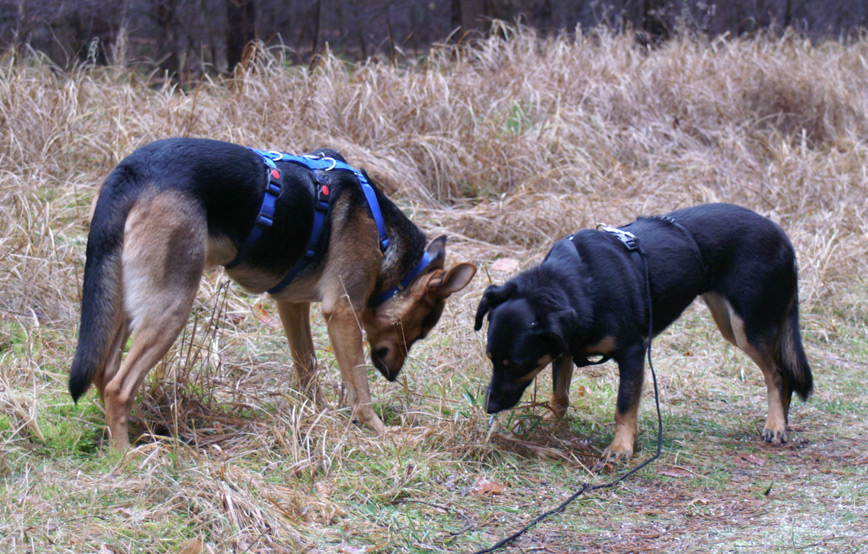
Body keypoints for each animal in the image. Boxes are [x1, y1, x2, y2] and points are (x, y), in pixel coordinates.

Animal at [71, 138, 478, 448]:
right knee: (118, 387)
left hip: (123, 302)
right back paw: (125, 455)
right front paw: (378, 431)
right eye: (419, 330)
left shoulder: (291, 306)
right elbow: (359, 388)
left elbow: (307, 370)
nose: (392, 376)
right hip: (170, 308)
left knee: (105, 374)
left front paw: (318, 417)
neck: (386, 238)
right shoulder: (342, 313)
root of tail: (130, 172)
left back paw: (136, 428)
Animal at [472, 203, 812, 462]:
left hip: (747, 326)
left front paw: (621, 447)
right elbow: (560, 395)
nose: (489, 406)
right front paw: (549, 423)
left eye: (516, 364)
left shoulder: (633, 353)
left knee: (777, 374)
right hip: (728, 321)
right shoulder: (564, 347)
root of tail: (782, 236)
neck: (580, 282)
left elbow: (624, 406)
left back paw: (776, 424)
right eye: (490, 359)